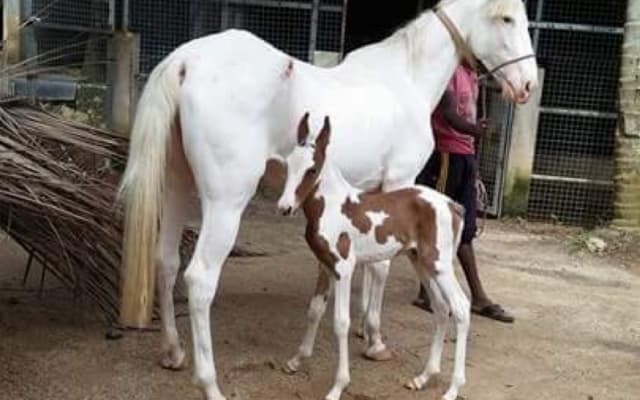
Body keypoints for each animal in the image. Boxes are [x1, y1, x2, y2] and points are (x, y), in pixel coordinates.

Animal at [278, 113, 472, 400]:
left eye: (311, 170)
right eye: (289, 164)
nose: (284, 207)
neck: (333, 206)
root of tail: (453, 205)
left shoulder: (344, 268)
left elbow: (341, 322)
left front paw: (338, 386)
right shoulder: (324, 266)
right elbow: (314, 310)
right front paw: (296, 360)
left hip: (441, 265)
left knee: (460, 307)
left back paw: (453, 389)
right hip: (421, 262)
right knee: (440, 307)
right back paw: (423, 377)